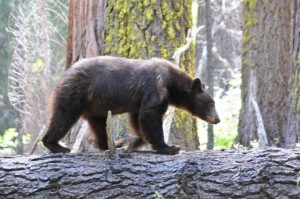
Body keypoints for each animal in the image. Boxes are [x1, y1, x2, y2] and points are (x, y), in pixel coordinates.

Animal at [42, 56, 220, 155]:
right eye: (211, 103)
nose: (217, 119)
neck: (172, 84)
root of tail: (66, 73)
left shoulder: (141, 100)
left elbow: (137, 118)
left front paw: (137, 141)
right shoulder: (155, 86)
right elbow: (150, 114)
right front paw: (169, 147)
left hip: (95, 106)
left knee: (99, 125)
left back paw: (114, 144)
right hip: (76, 93)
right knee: (63, 116)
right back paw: (56, 145)